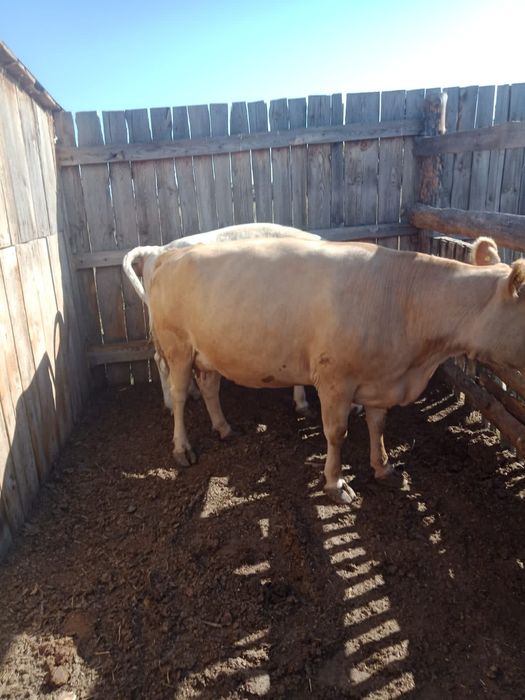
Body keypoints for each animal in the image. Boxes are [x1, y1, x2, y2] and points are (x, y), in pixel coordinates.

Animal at [148, 233, 525, 506]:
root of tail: (170, 256)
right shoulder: (335, 380)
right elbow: (336, 433)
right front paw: (335, 483)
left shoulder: (381, 378)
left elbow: (378, 425)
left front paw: (383, 466)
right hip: (177, 347)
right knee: (179, 398)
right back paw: (182, 448)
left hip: (207, 351)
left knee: (209, 387)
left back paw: (224, 427)